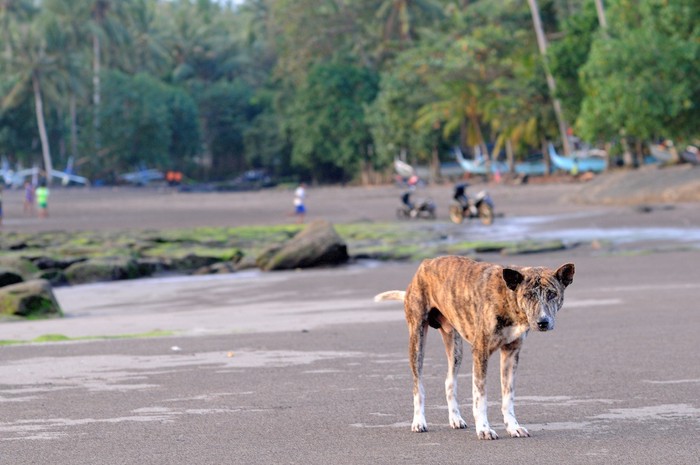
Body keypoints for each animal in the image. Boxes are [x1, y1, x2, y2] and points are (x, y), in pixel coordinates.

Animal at [374, 256, 576, 436]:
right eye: (527, 295)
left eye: (552, 294)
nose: (543, 322)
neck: (507, 297)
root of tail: (424, 265)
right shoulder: (480, 353)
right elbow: (481, 398)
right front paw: (484, 429)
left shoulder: (511, 353)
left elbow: (508, 397)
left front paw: (513, 427)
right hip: (417, 342)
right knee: (418, 387)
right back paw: (418, 421)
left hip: (455, 347)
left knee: (449, 382)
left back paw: (455, 419)